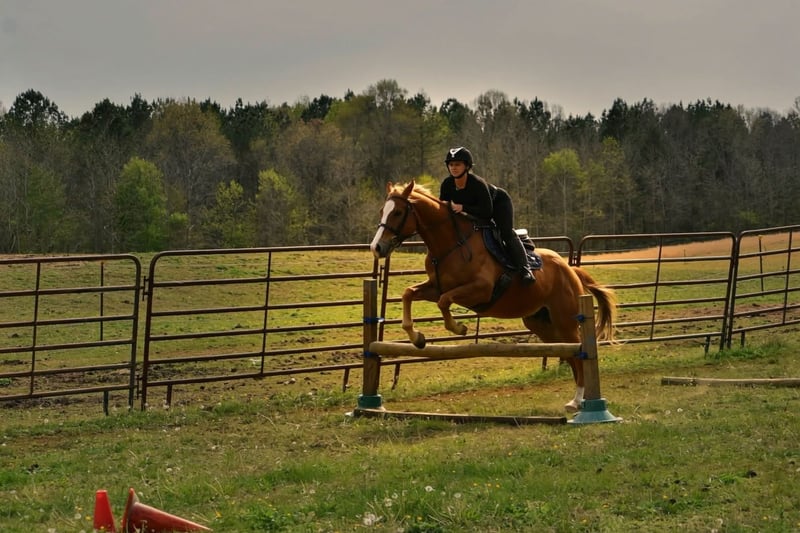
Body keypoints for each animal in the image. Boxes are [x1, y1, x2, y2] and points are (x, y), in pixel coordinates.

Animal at [369, 180, 617, 412]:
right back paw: (577, 400)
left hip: (565, 320)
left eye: (398, 212)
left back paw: (580, 400)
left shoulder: (480, 289)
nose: (376, 247)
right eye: (382, 210)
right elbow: (409, 294)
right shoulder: (435, 287)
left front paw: (459, 328)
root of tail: (570, 269)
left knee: (578, 353)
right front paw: (417, 338)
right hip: (543, 324)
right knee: (570, 354)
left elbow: (444, 301)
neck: (451, 243)